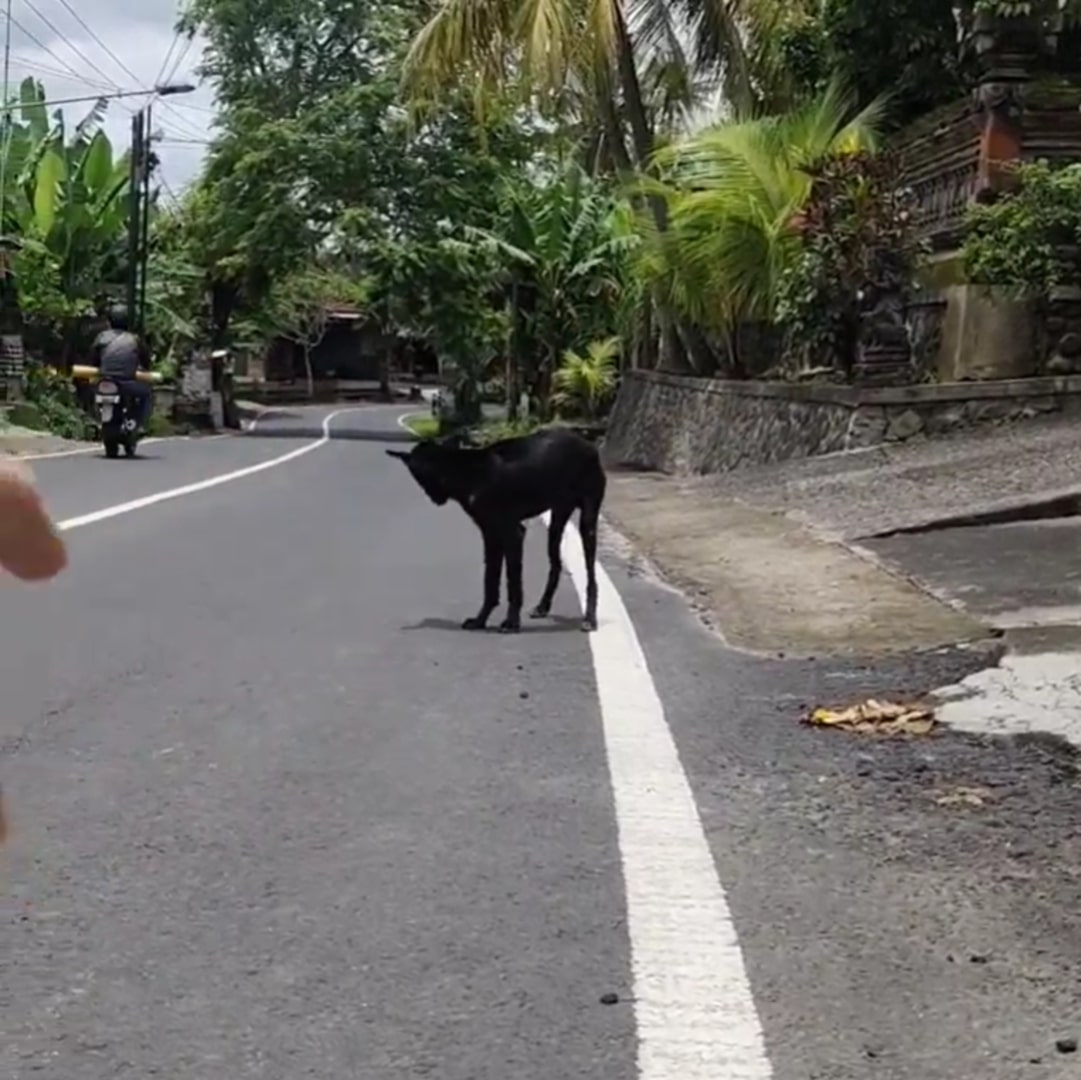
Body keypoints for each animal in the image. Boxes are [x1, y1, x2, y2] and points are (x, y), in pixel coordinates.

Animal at [389, 428, 609, 631]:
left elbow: (513, 583)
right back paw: (542, 606)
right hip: (556, 523)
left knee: (591, 577)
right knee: (555, 565)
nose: (435, 499)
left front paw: (511, 621)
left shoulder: (512, 533)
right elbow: (490, 581)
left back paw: (590, 618)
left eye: (418, 476)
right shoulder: (490, 534)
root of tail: (588, 444)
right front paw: (480, 620)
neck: (465, 473)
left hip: (588, 523)